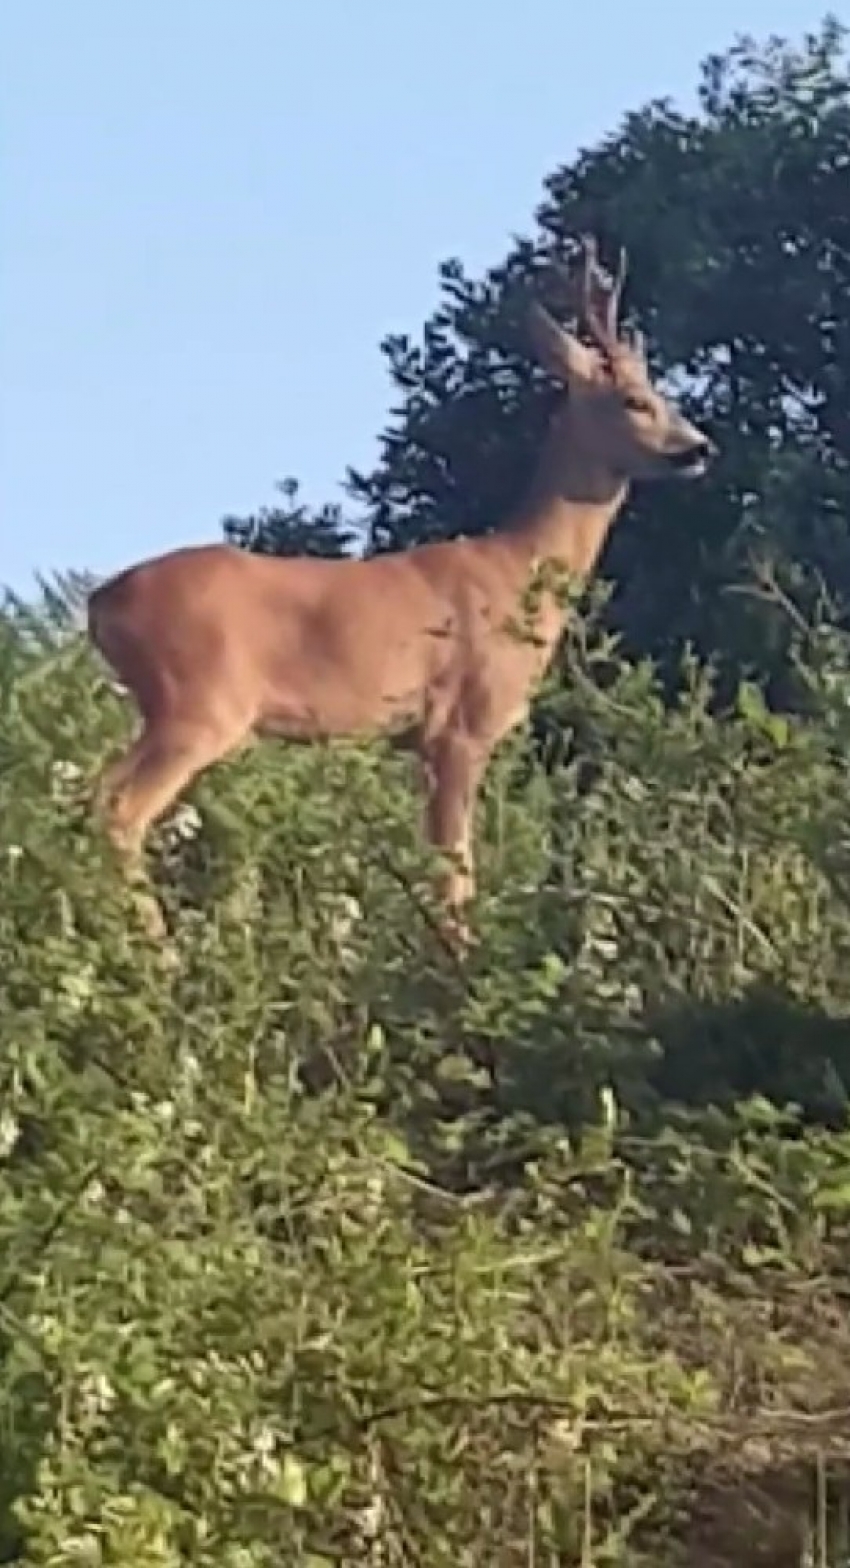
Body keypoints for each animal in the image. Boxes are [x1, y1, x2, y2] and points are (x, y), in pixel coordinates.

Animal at [88, 232, 721, 940]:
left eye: (663, 394)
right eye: (635, 400)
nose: (699, 447)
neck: (518, 573)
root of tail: (100, 603)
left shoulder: (415, 739)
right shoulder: (462, 722)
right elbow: (455, 875)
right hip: (197, 702)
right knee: (116, 807)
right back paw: (157, 948)